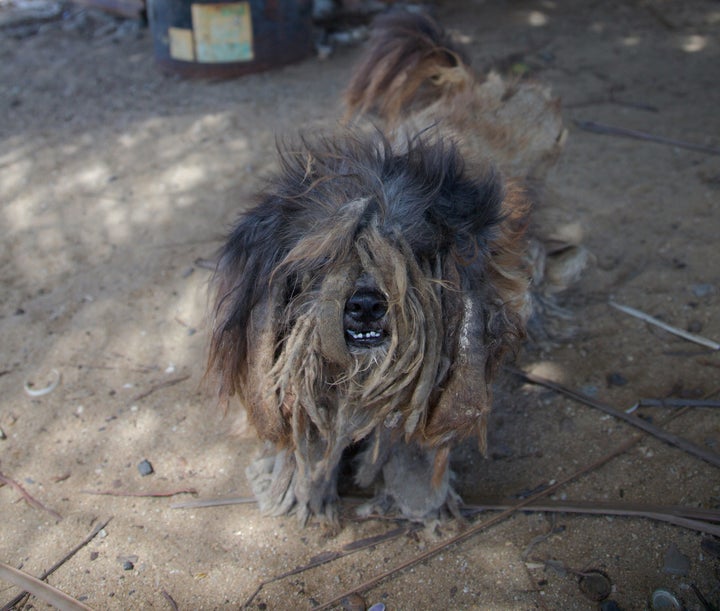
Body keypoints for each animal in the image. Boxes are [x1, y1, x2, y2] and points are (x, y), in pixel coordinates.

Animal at [204, 10, 584, 524]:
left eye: (410, 255)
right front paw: (300, 488)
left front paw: (420, 497)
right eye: (325, 259)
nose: (365, 305)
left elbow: (415, 435)